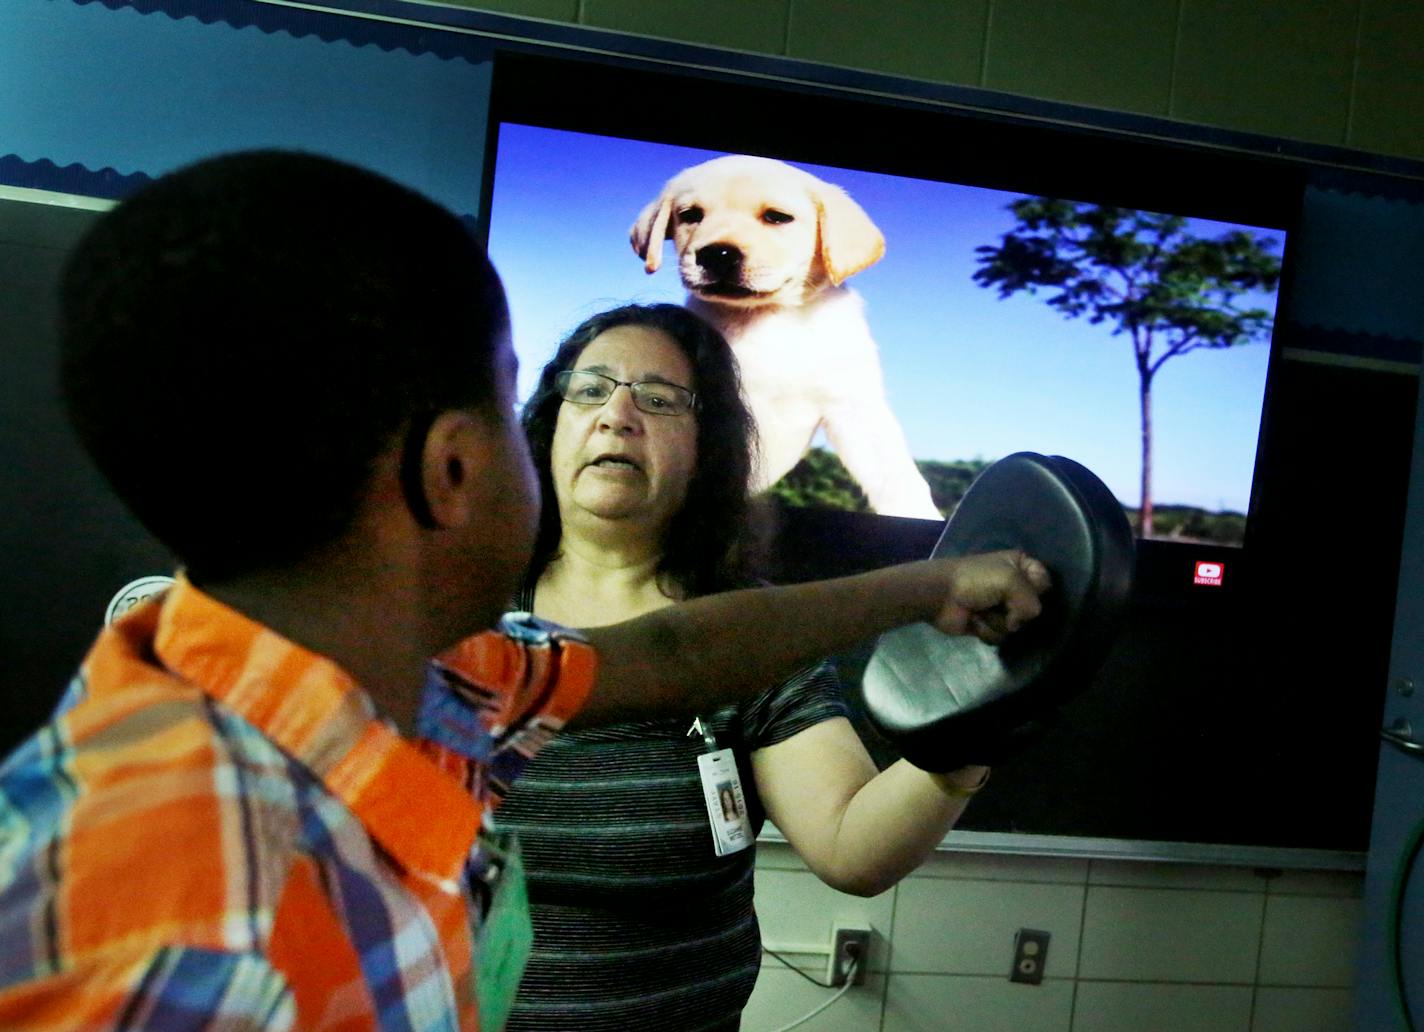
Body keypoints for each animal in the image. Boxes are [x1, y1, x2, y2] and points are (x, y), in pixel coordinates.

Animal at [629, 153, 939, 518]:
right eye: (690, 215)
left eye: (777, 217)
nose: (716, 254)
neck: (768, 318)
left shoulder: (854, 404)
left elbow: (895, 474)